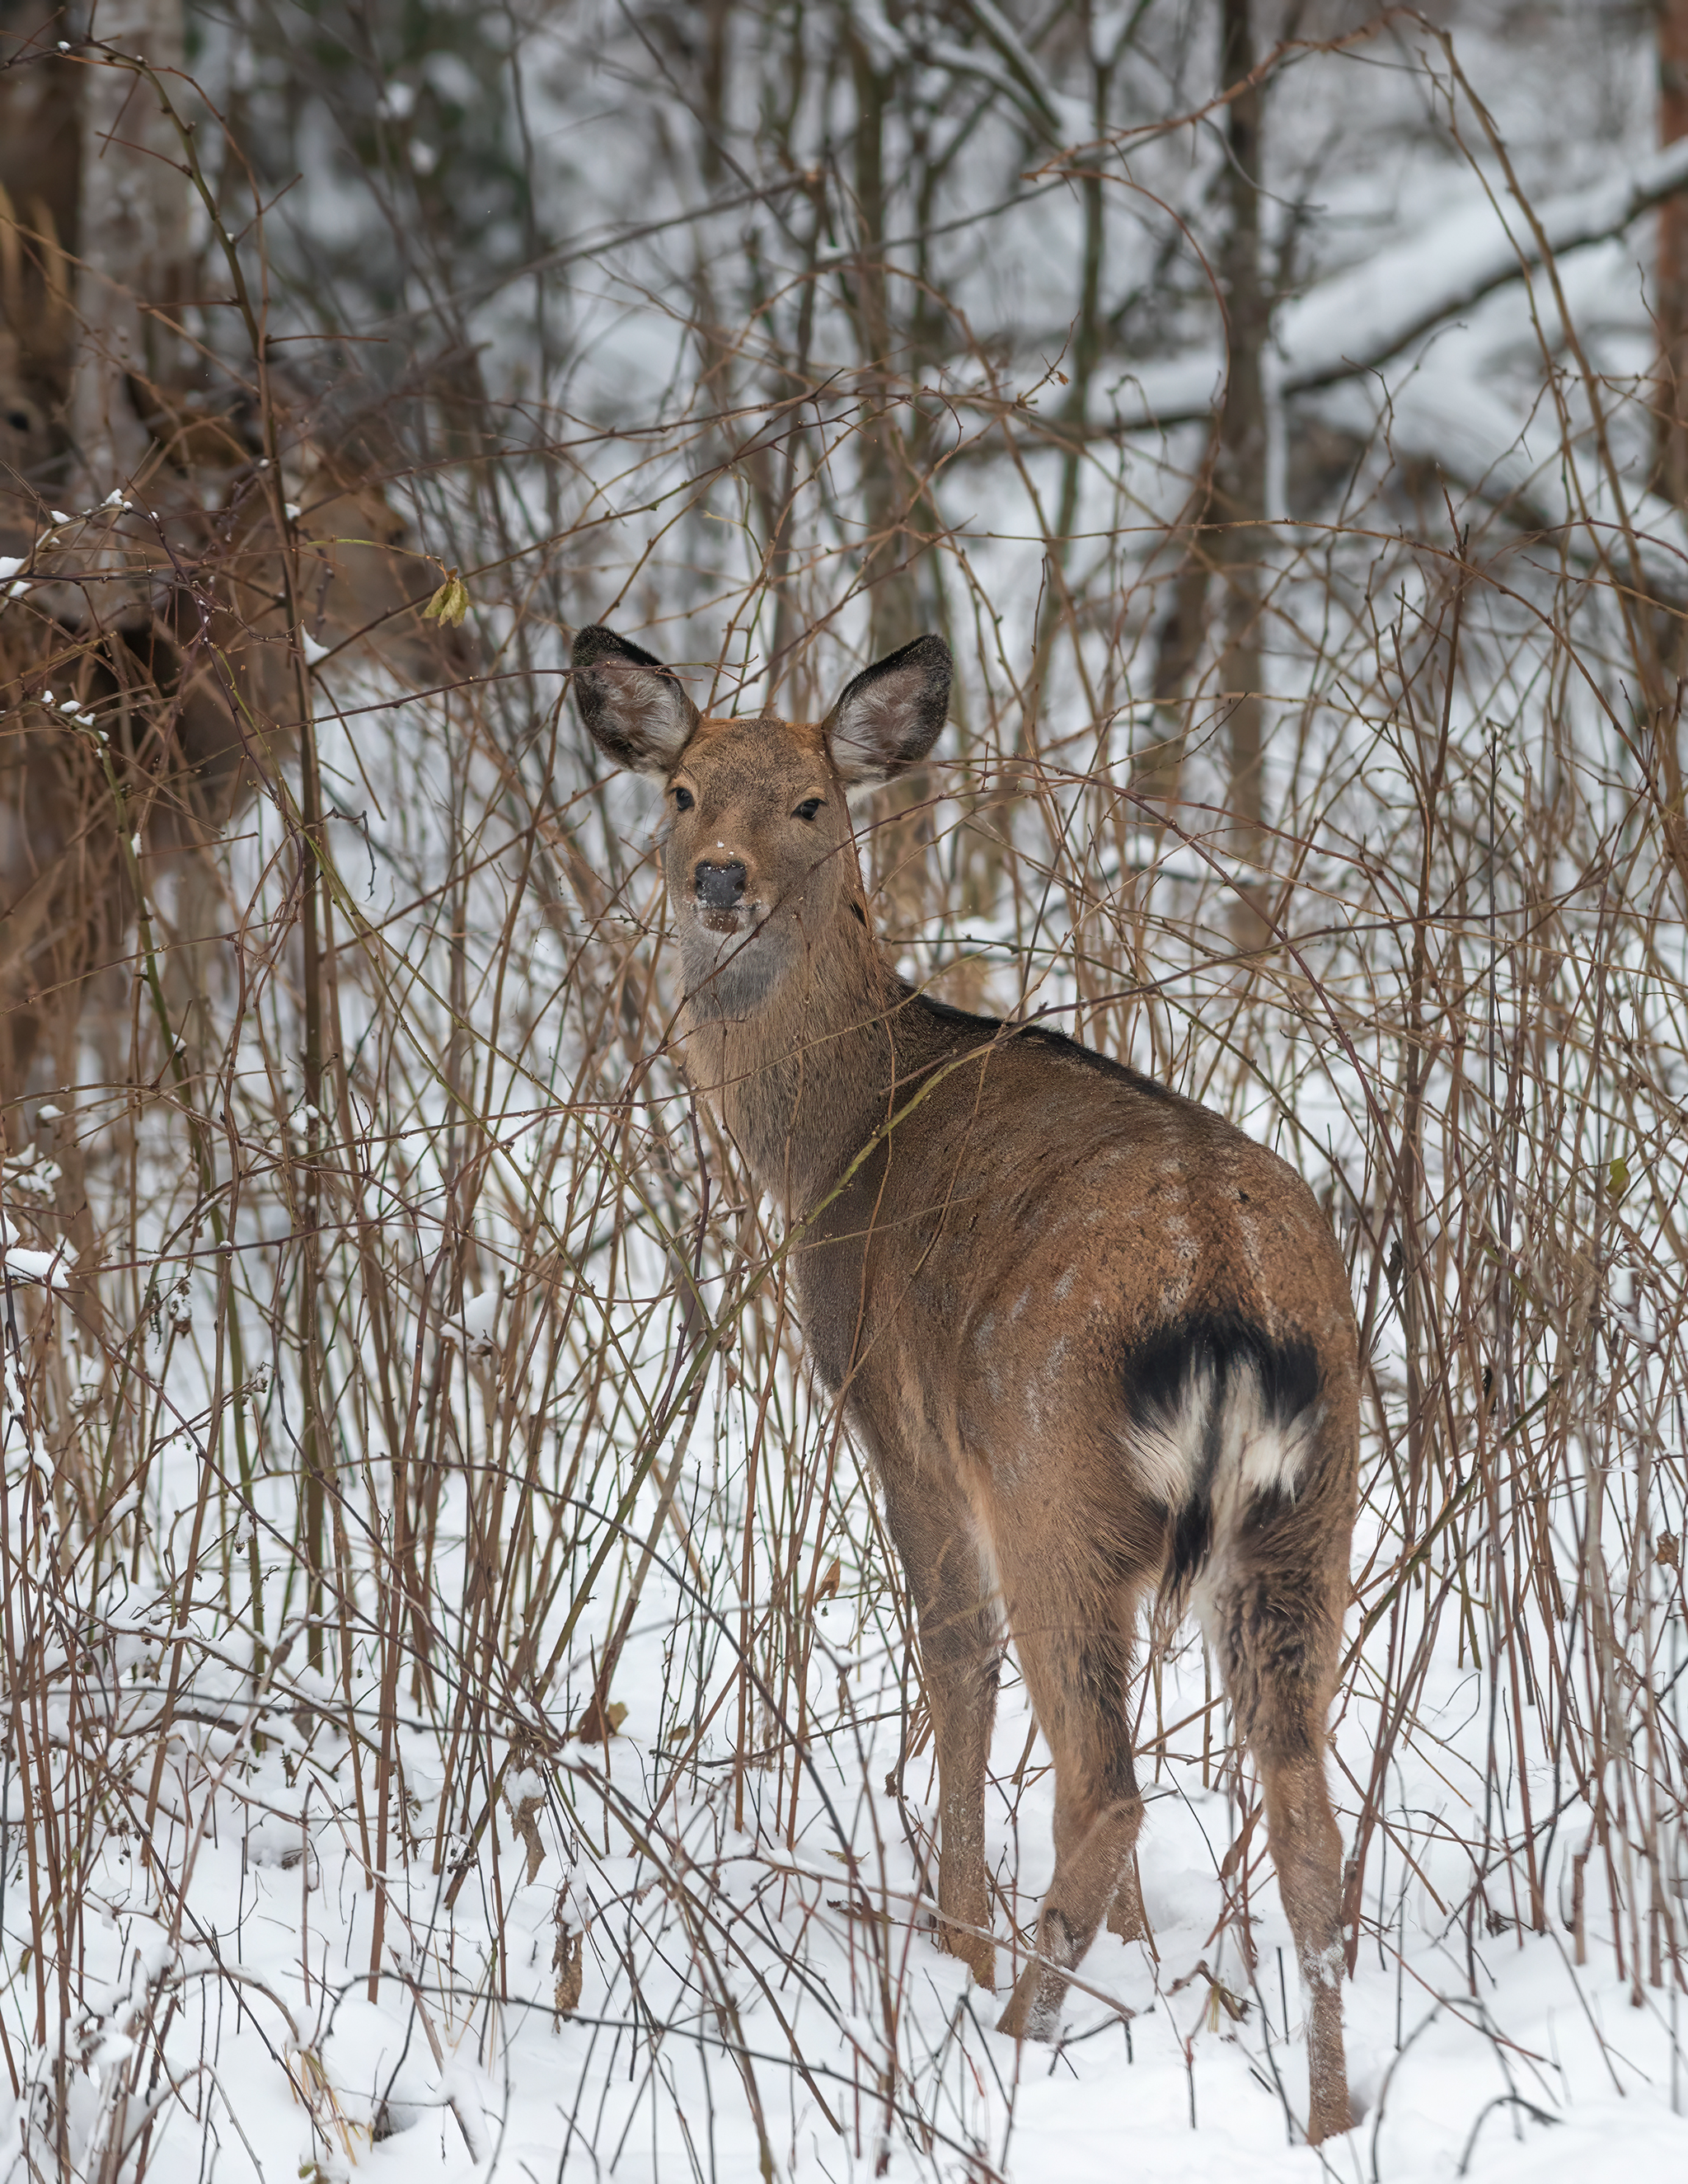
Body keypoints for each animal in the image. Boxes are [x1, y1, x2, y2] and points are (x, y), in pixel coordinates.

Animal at [572, 624, 1362, 2140]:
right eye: (681, 792)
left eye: (814, 803)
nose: (719, 881)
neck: (835, 1133)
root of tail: (1230, 1290)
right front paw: (1134, 1964)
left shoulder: (902, 1428)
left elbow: (952, 1665)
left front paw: (952, 1941)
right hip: (1314, 1510)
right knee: (1300, 1802)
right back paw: (1330, 2115)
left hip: (1054, 1473)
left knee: (1103, 1782)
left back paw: (1003, 2043)